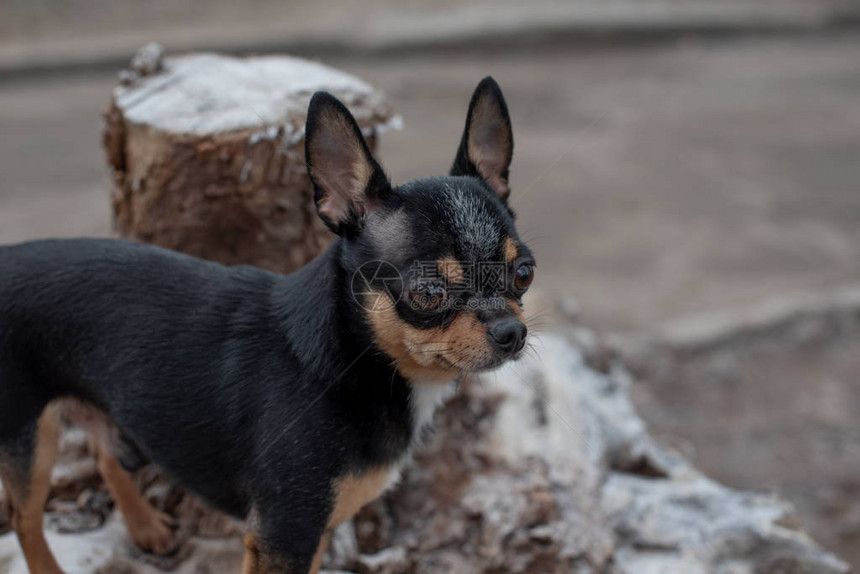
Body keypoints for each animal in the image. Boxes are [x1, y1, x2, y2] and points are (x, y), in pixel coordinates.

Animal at [0, 77, 536, 574]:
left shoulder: (311, 532)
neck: (353, 358)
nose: (512, 332)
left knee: (104, 452)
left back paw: (146, 526)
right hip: (29, 440)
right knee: (26, 520)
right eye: (429, 293)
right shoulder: (284, 535)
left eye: (524, 273)